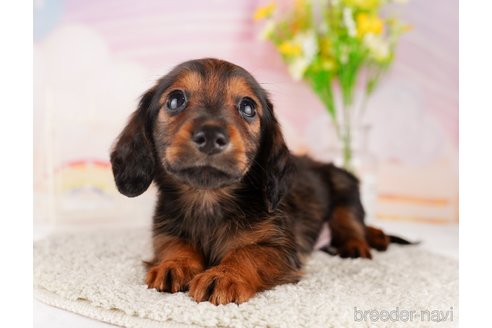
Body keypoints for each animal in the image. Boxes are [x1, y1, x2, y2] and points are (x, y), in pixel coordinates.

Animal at [110, 58, 412, 304]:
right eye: (175, 100)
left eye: (248, 107)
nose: (211, 135)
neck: (208, 199)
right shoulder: (166, 230)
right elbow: (175, 245)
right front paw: (175, 264)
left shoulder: (280, 247)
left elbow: (248, 253)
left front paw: (225, 275)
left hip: (345, 189)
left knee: (351, 222)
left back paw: (358, 243)